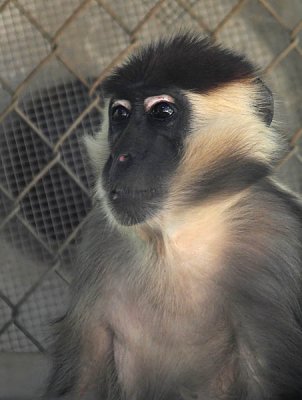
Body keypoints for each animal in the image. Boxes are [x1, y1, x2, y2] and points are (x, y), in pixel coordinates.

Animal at [44, 34, 302, 400]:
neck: (175, 237)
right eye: (120, 114)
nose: (121, 157)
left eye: (162, 112)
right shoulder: (99, 238)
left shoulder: (274, 236)